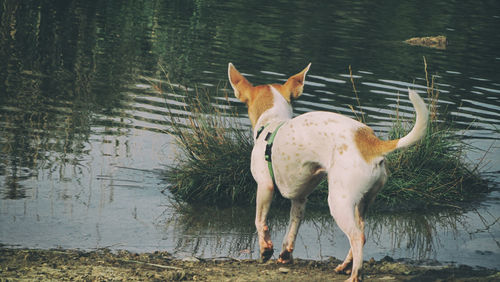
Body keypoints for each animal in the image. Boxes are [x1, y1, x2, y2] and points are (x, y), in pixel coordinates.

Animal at [229, 61, 428, 280]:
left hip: (338, 202)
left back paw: (354, 275)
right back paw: (346, 266)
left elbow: (260, 221)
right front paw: (285, 254)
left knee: (357, 237)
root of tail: (371, 143)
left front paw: (265, 250)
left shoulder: (265, 187)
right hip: (361, 203)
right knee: (362, 232)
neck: (272, 123)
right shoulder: (300, 199)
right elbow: (292, 228)